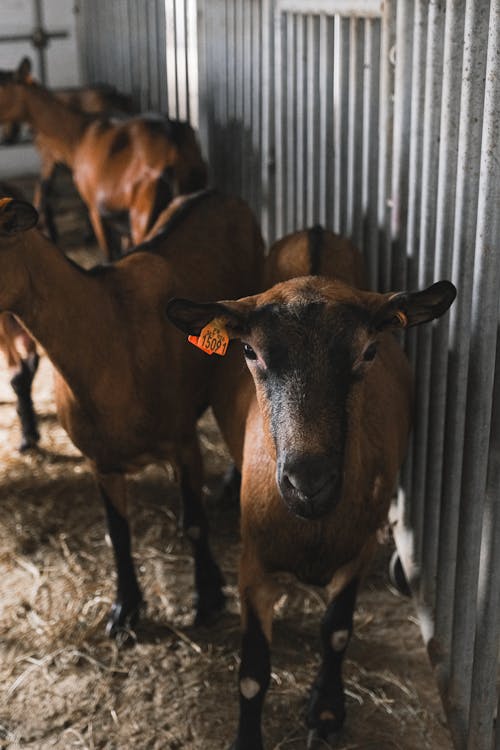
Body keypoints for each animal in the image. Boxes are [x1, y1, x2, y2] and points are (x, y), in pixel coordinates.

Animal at [0, 58, 207, 262]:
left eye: (1, 86)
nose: (8, 136)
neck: (79, 135)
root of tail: (175, 151)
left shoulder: (95, 209)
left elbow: (109, 255)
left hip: (143, 217)